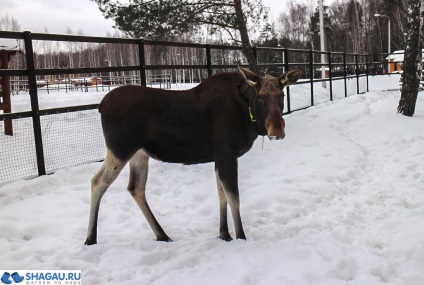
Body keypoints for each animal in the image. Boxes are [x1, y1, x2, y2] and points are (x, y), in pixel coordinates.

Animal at [83, 65, 302, 244]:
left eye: (282, 96)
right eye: (260, 97)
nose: (277, 130)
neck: (248, 117)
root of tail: (100, 106)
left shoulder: (219, 157)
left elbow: (222, 194)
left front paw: (224, 234)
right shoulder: (226, 153)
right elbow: (234, 197)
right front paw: (241, 236)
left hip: (139, 154)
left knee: (135, 187)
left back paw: (162, 234)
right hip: (120, 148)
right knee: (97, 182)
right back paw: (90, 238)